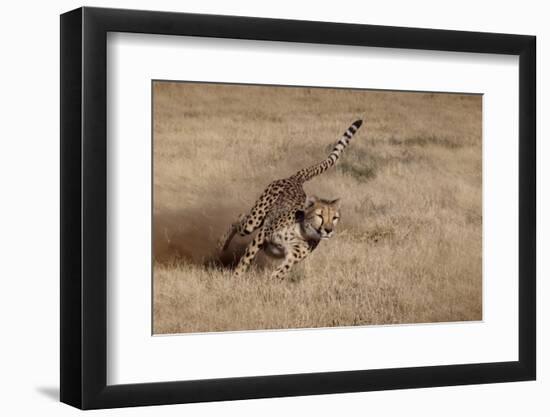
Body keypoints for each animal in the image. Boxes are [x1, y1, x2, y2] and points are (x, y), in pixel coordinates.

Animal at [220, 118, 366, 278]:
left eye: (335, 218)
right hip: (254, 221)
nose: (328, 230)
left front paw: (271, 280)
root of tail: (295, 179)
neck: (301, 232)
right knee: (239, 220)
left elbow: (282, 270)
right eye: (320, 215)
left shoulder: (293, 256)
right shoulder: (262, 235)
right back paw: (221, 245)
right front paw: (236, 276)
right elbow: (246, 258)